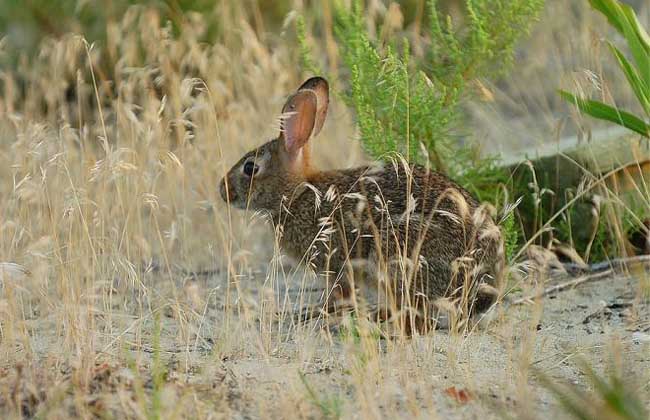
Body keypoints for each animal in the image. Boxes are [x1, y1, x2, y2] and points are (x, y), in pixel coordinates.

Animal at [220, 76, 504, 332]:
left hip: (397, 254)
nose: (223, 190)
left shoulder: (336, 263)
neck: (298, 193)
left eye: (250, 168)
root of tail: (485, 279)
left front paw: (311, 314)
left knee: (419, 319)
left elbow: (339, 295)